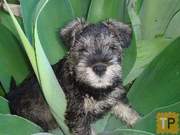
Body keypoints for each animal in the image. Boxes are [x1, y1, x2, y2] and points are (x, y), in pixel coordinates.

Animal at [6, 18, 139, 135]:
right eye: (82, 49)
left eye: (112, 47)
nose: (99, 68)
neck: (93, 89)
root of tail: (10, 96)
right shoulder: (78, 116)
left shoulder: (115, 94)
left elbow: (126, 109)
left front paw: (139, 122)